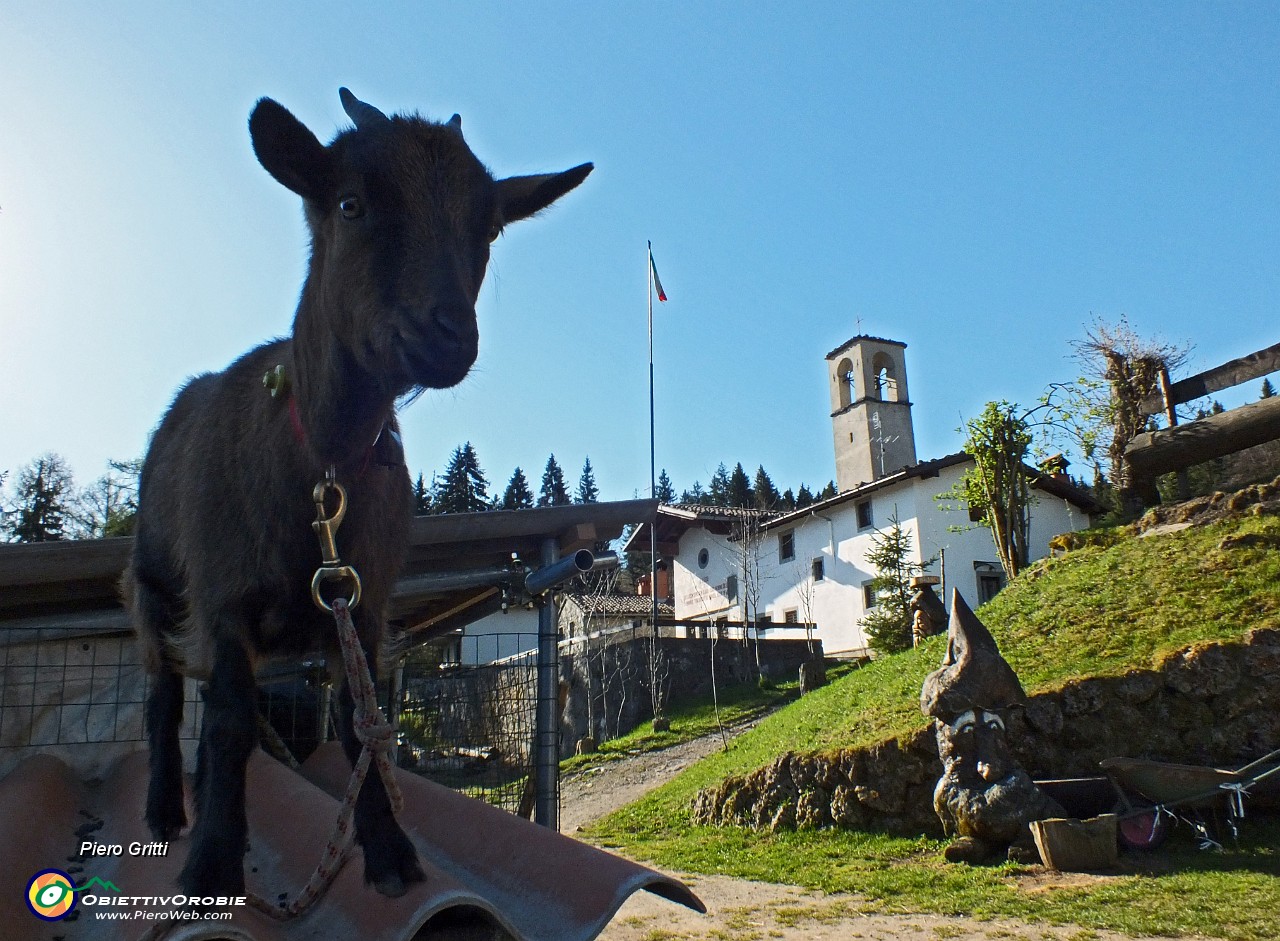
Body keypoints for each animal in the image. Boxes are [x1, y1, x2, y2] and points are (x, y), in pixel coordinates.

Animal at [122, 88, 591, 896]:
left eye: (490, 225)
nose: (448, 336)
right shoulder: (223, 596)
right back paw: (162, 811)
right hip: (154, 582)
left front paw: (388, 846)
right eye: (349, 204)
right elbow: (228, 723)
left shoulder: (362, 603)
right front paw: (213, 855)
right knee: (163, 696)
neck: (323, 468)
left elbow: (359, 721)